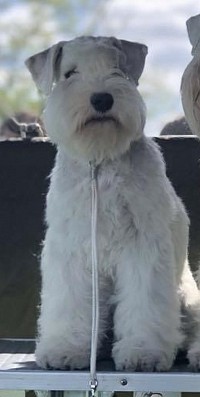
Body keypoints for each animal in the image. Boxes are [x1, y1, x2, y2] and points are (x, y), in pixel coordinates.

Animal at [25, 36, 200, 372]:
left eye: (117, 68)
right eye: (70, 73)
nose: (102, 99)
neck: (101, 160)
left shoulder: (143, 247)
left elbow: (144, 304)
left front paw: (143, 352)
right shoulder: (70, 250)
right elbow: (69, 302)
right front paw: (65, 348)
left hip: (188, 299)